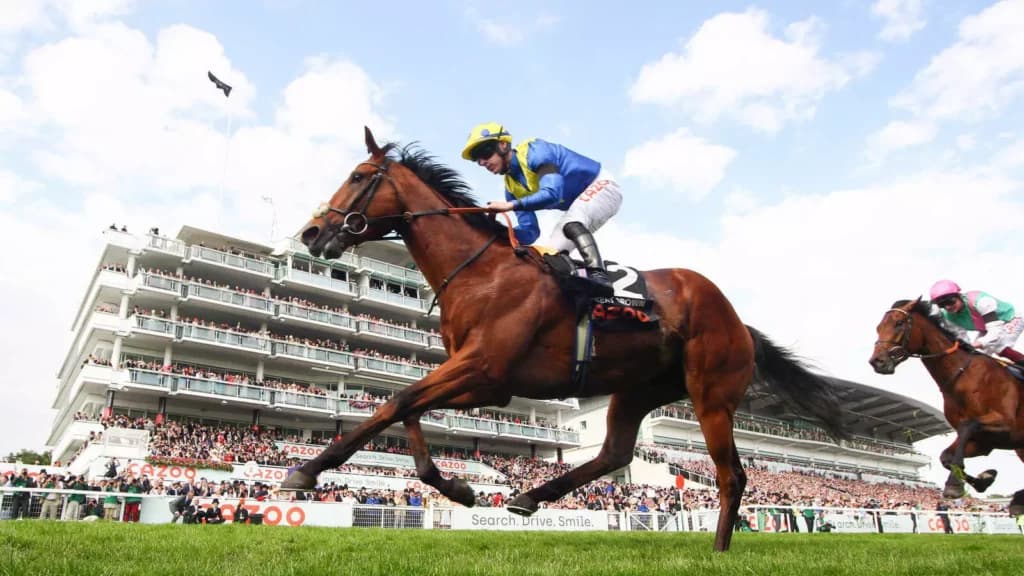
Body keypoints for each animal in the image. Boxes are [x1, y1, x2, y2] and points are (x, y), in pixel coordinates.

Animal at [285, 127, 850, 551]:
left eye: (358, 176)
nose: (312, 233)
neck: (480, 273)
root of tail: (737, 320)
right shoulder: (484, 380)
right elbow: (409, 409)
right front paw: (456, 486)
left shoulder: (485, 372)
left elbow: (396, 402)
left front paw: (307, 470)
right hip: (638, 389)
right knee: (615, 453)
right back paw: (530, 496)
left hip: (711, 395)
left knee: (732, 475)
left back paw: (718, 547)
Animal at [869, 298, 1024, 515]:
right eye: (878, 327)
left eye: (899, 323)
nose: (877, 361)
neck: (963, 376)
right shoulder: (983, 442)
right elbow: (946, 457)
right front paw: (983, 479)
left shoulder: (1006, 424)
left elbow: (968, 425)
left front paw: (954, 485)